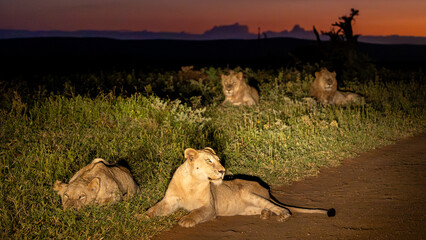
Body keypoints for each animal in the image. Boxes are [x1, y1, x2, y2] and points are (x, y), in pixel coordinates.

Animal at [145, 147, 334, 228]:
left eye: (219, 160)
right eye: (209, 161)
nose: (222, 171)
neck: (192, 183)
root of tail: (267, 190)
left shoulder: (210, 207)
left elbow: (197, 212)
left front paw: (186, 220)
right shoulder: (169, 201)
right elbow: (154, 209)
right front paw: (142, 217)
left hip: (251, 195)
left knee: (282, 208)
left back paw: (281, 216)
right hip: (249, 208)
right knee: (268, 208)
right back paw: (265, 215)